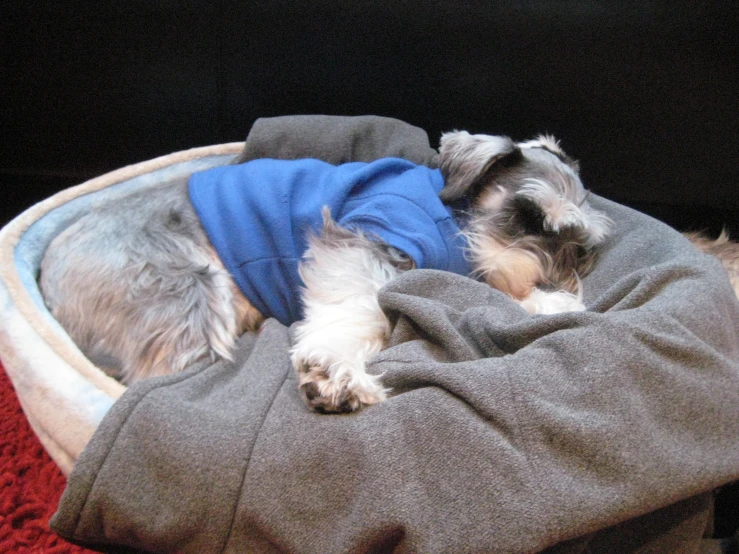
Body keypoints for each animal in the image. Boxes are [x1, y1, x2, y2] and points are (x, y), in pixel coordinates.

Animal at [39, 132, 612, 412]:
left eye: (581, 247)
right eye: (527, 214)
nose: (555, 281)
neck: (455, 213)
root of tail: (47, 275)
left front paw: (551, 303)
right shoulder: (364, 239)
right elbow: (364, 311)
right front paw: (337, 372)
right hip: (185, 295)